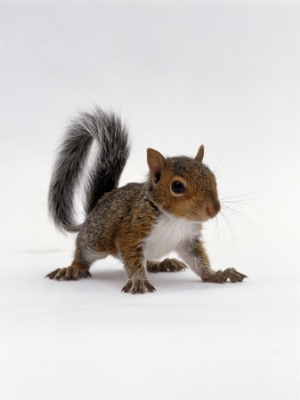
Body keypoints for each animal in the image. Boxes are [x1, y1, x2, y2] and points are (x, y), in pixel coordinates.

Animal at [47, 107, 247, 294]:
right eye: (177, 186)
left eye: (212, 178)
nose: (214, 209)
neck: (175, 219)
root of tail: (100, 202)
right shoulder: (131, 232)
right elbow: (133, 260)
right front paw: (138, 281)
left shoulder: (188, 239)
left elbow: (199, 261)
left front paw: (216, 274)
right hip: (96, 239)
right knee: (82, 254)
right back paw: (72, 269)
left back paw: (162, 263)